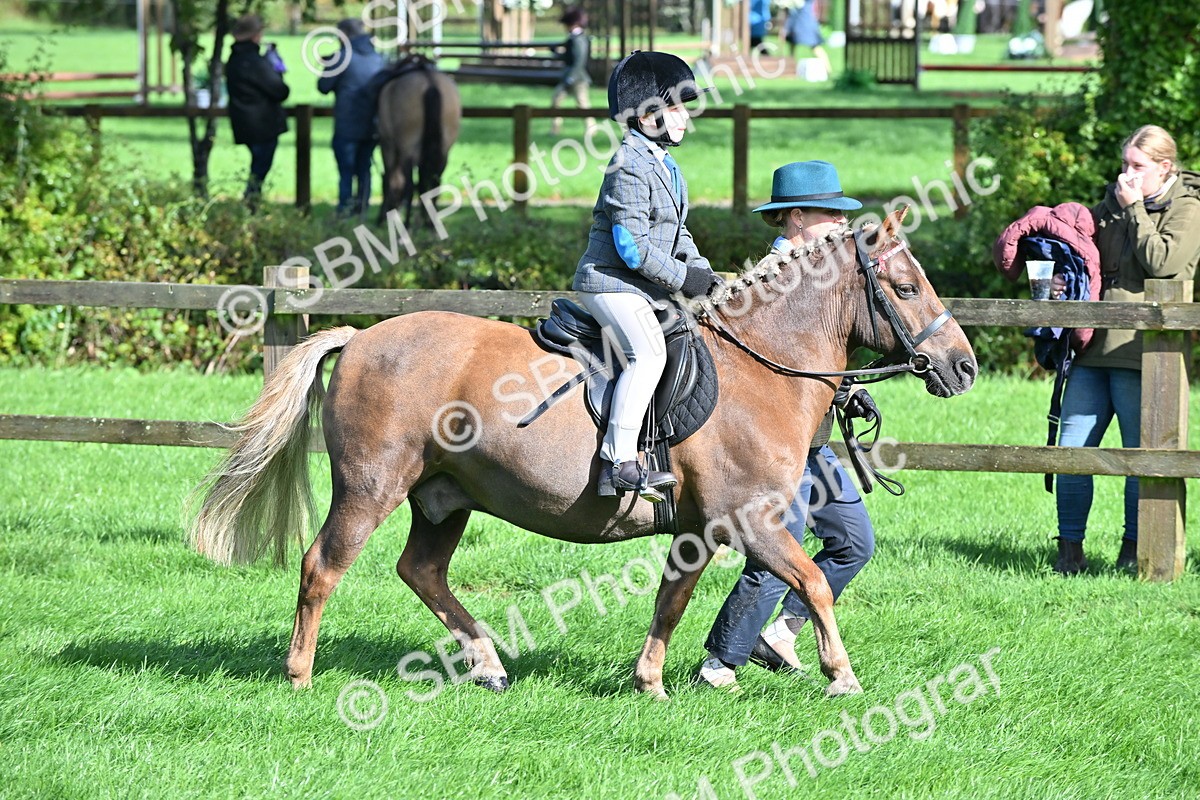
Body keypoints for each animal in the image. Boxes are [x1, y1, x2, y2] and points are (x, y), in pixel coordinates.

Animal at [189, 208, 977, 699]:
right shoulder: (750, 522)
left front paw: (650, 681)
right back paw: (300, 675)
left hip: (443, 498)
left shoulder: (698, 531)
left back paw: (488, 663)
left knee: (421, 571)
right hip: (370, 488)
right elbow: (813, 582)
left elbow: (672, 599)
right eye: (905, 286)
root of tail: (359, 337)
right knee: (322, 567)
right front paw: (841, 675)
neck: (760, 368)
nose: (962, 367)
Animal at [375, 56, 462, 226]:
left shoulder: (387, 145)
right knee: (435, 183)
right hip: (443, 152)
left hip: (406, 150)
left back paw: (407, 225)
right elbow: (422, 184)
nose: (395, 207)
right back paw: (431, 225)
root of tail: (430, 82)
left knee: (409, 186)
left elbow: (390, 179)